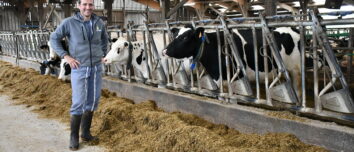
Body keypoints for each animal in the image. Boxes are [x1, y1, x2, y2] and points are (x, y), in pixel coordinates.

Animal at [163, 25, 304, 98]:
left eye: (185, 37)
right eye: (175, 36)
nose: (164, 50)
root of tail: (293, 28)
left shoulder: (236, 77)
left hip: (296, 70)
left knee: (297, 89)